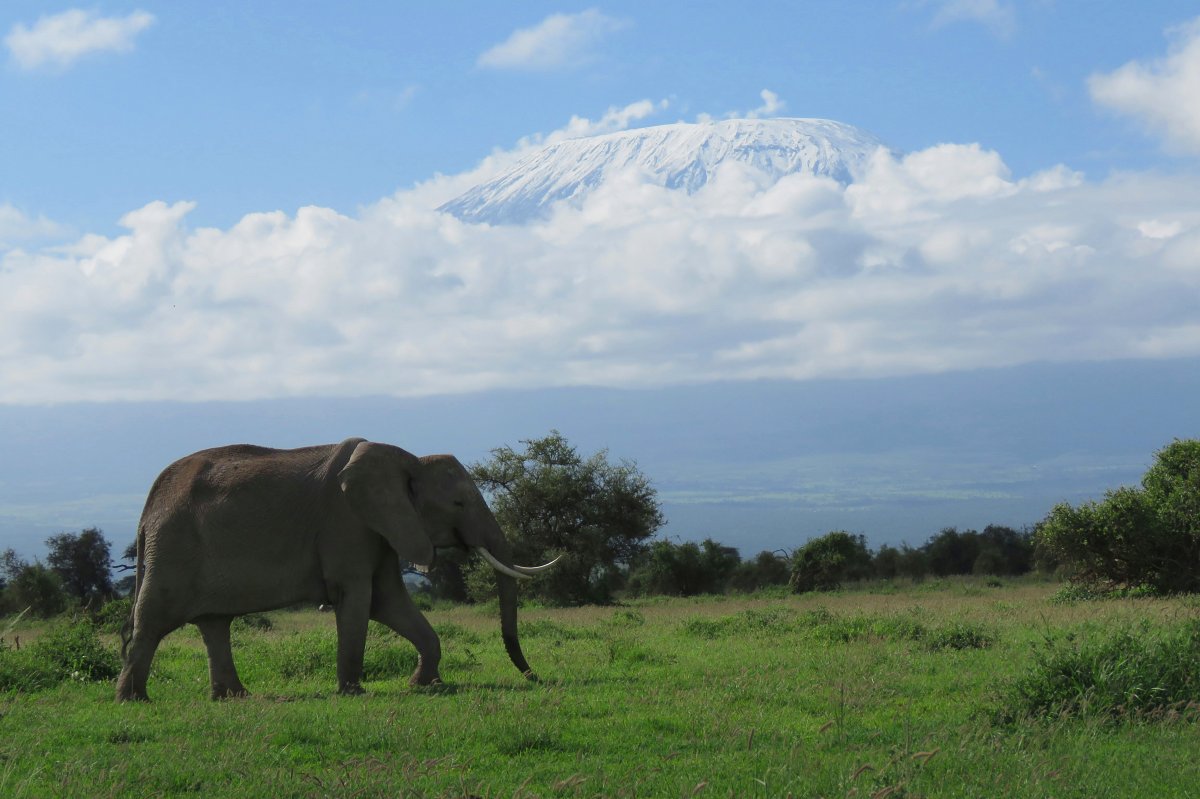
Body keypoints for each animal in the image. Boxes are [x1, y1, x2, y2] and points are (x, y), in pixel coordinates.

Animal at [115, 438, 558, 701]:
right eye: (459, 504)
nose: (535, 677)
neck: (407, 461)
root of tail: (147, 507)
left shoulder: (381, 528)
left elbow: (389, 602)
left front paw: (424, 684)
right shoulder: (348, 522)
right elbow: (360, 599)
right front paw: (353, 692)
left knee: (214, 624)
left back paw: (234, 697)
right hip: (173, 546)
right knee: (152, 622)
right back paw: (133, 700)